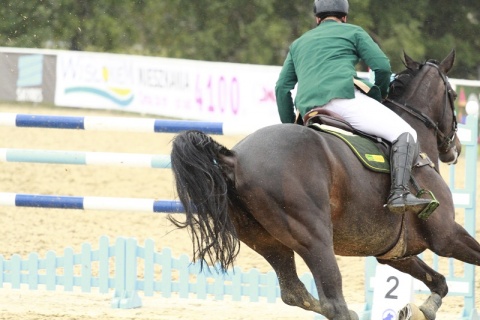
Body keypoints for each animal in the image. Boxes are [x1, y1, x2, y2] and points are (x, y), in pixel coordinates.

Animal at [171, 51, 478, 318]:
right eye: (453, 95)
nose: (455, 150)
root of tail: (234, 157)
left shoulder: (394, 254)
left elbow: (439, 282)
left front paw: (422, 309)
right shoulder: (447, 236)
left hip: (266, 240)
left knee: (295, 293)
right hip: (314, 238)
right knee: (333, 302)